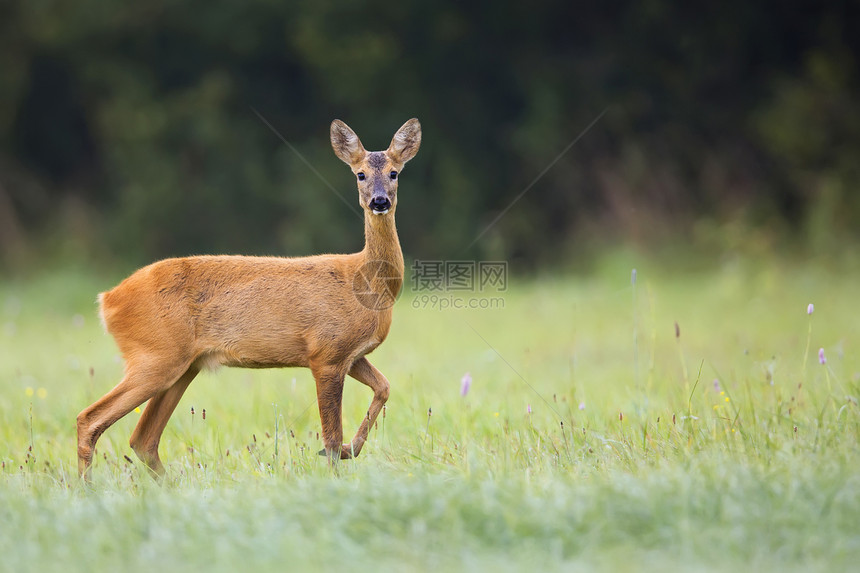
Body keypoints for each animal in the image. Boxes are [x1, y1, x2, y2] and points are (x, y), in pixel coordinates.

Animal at [77, 117, 420, 478]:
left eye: (394, 172)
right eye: (360, 174)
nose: (379, 201)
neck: (368, 282)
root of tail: (108, 300)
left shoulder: (349, 354)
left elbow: (383, 386)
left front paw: (350, 449)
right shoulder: (326, 352)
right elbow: (329, 434)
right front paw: (336, 467)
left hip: (182, 366)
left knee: (142, 439)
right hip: (154, 355)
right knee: (90, 420)